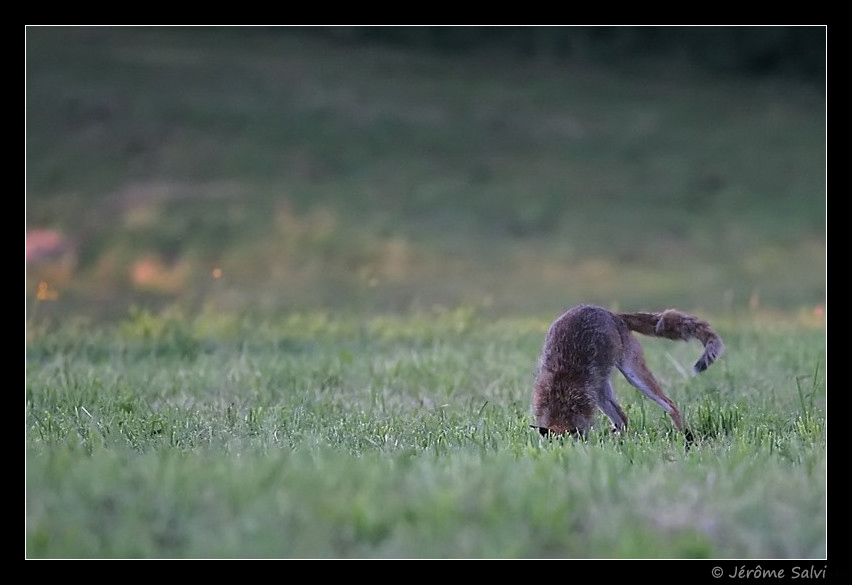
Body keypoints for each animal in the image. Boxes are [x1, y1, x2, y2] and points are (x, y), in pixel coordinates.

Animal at [531, 304, 724, 438]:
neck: (561, 391)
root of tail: (613, 314)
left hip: (633, 375)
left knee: (670, 405)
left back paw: (685, 435)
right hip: (602, 391)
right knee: (623, 419)